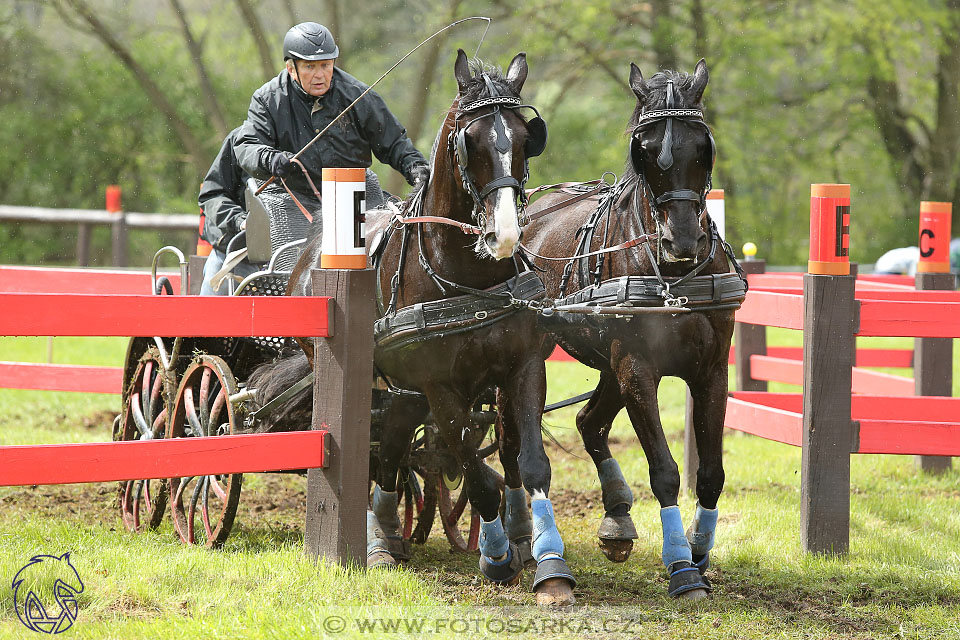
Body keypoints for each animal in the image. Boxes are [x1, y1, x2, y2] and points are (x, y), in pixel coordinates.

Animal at [251, 50, 572, 604]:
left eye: (524, 137)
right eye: (470, 140)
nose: (505, 234)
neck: (471, 279)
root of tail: (312, 249)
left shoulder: (523, 367)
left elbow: (529, 463)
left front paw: (549, 566)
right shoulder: (440, 384)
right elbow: (472, 468)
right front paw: (496, 556)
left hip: (402, 387)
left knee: (394, 449)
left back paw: (387, 532)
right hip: (365, 379)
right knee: (371, 450)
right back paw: (378, 540)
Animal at [516, 61, 744, 600]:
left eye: (702, 145)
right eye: (645, 148)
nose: (681, 239)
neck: (674, 276)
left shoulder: (711, 371)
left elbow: (711, 473)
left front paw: (700, 554)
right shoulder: (637, 367)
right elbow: (664, 471)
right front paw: (682, 567)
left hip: (607, 363)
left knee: (589, 422)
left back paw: (617, 516)